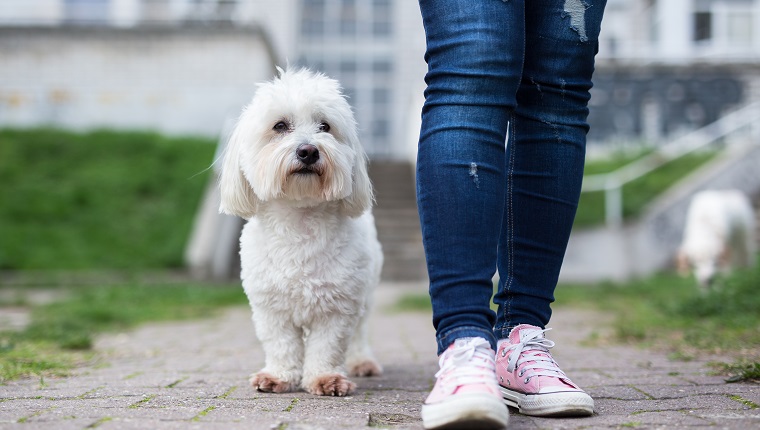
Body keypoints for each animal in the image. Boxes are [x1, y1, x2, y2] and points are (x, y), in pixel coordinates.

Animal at [218, 68, 386, 396]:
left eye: (325, 126)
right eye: (280, 126)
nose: (308, 150)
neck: (300, 219)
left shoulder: (338, 307)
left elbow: (327, 347)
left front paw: (325, 378)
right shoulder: (271, 308)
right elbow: (281, 344)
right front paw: (278, 376)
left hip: (366, 293)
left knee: (360, 331)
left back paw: (362, 362)